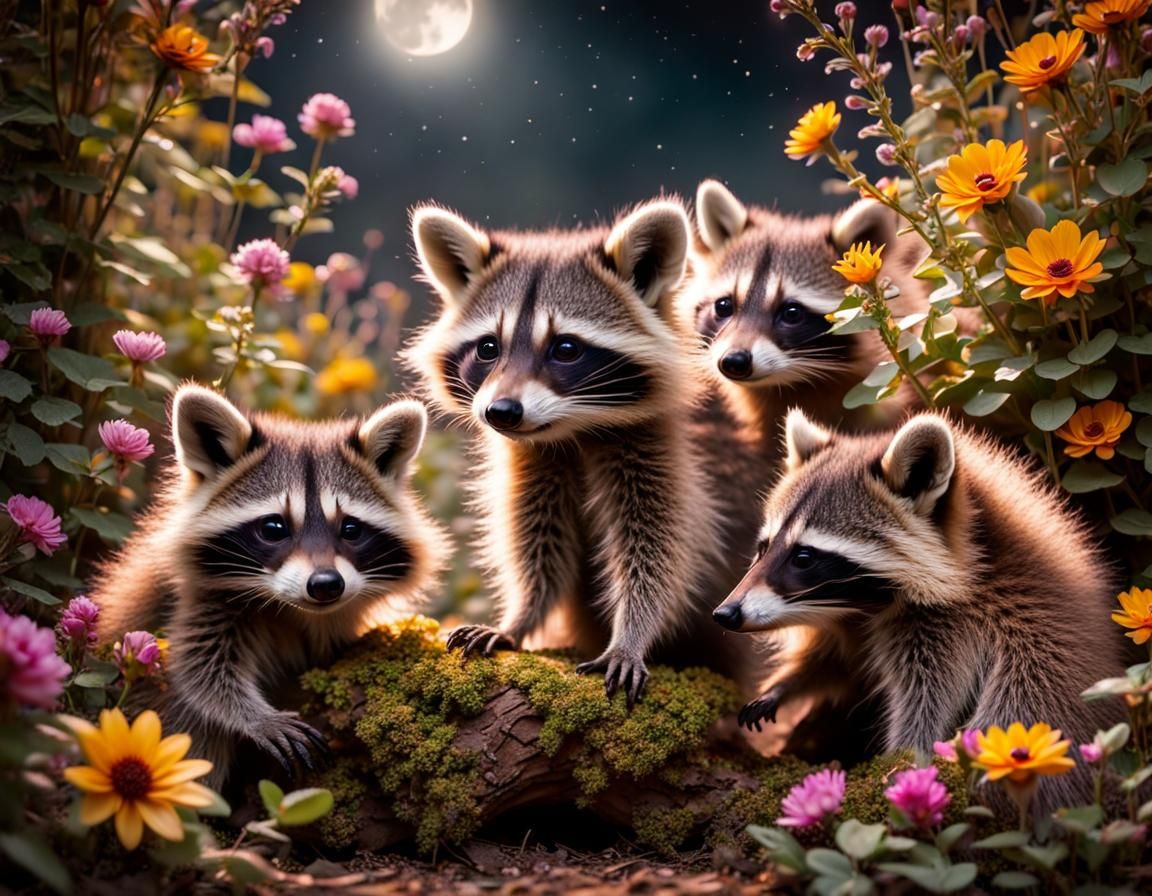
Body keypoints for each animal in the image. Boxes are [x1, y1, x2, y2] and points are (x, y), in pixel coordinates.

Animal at [91, 384, 447, 787]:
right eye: (274, 528)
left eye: (351, 529)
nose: (326, 585)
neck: (296, 609)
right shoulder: (200, 600)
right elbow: (199, 671)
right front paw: (253, 716)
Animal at [405, 199, 747, 704]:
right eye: (488, 348)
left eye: (565, 348)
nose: (501, 412)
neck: (573, 431)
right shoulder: (535, 461)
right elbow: (538, 547)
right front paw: (520, 617)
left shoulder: (667, 456)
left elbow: (660, 552)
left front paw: (632, 633)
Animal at [712, 409, 1124, 806]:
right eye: (764, 548)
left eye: (803, 557)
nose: (725, 614)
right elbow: (836, 661)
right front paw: (788, 682)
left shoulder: (953, 625)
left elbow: (925, 702)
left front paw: (902, 762)